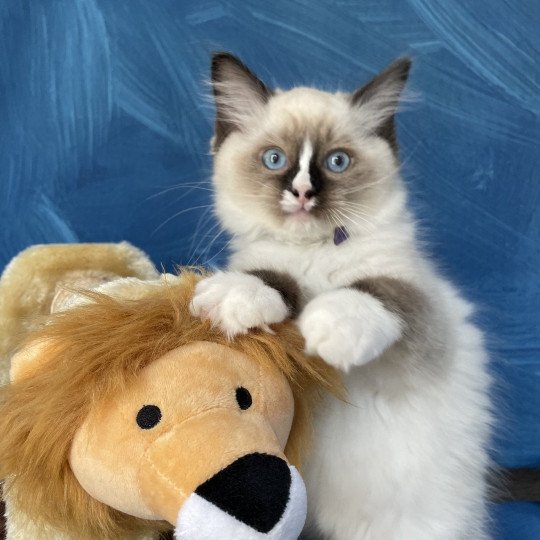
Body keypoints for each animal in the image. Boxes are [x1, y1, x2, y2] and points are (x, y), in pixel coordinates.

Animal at [191, 53, 494, 540]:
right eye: (274, 159)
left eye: (336, 162)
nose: (302, 193)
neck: (317, 254)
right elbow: (275, 279)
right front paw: (237, 297)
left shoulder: (416, 313)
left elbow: (375, 293)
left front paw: (331, 326)